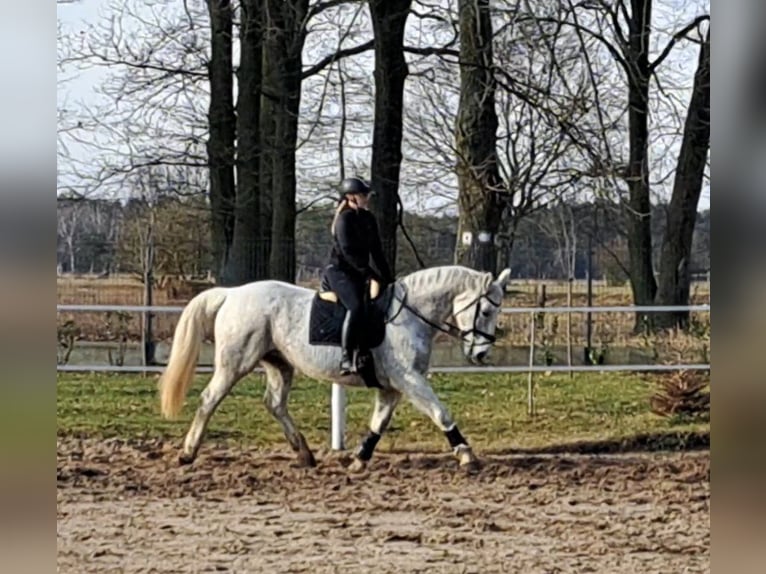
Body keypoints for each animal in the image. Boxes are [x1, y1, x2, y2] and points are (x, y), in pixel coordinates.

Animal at [159, 266, 512, 472]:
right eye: (485, 310)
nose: (481, 354)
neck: (410, 314)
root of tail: (232, 294)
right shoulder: (409, 380)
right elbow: (441, 412)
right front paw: (466, 455)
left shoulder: (392, 387)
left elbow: (379, 423)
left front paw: (359, 459)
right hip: (235, 363)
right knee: (209, 399)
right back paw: (187, 453)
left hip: (279, 364)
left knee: (275, 404)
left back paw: (305, 455)